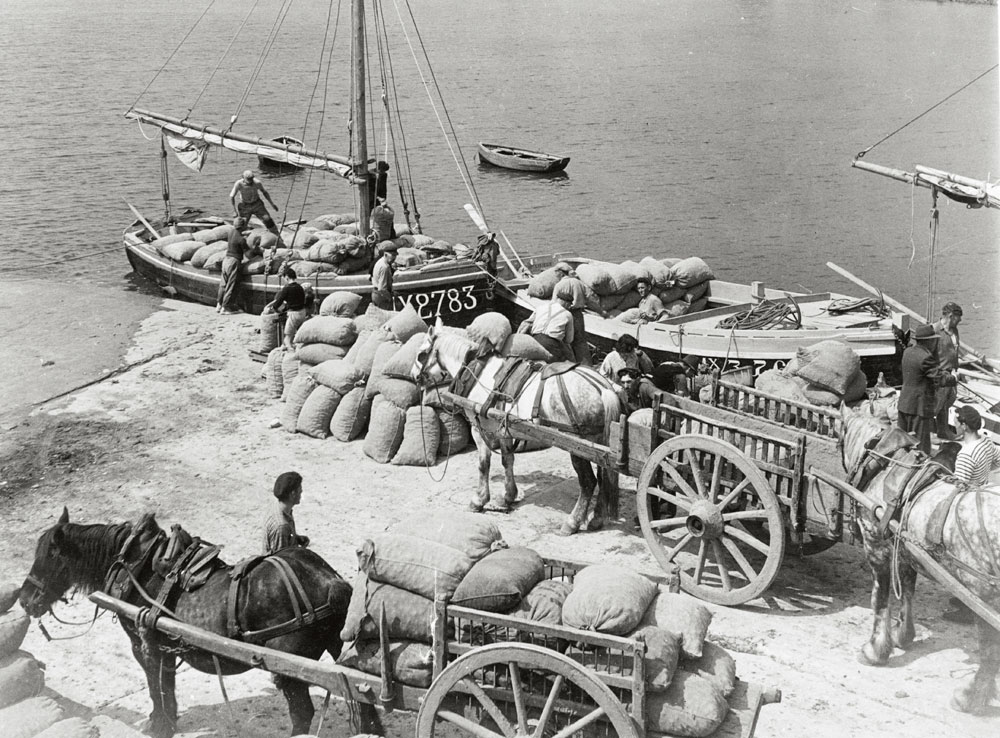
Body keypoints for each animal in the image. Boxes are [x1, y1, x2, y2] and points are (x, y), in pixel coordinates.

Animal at [19, 508, 372, 736]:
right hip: (341, 649)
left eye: (49, 555)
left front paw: (159, 725)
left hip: (290, 670)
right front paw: (168, 720)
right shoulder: (163, 645)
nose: (24, 599)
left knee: (302, 715)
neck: (135, 567)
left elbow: (155, 686)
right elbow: (167, 685)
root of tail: (329, 580)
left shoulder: (142, 644)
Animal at [410, 322, 620, 536]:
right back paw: (597, 518)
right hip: (601, 446)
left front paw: (479, 500)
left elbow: (484, 464)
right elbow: (507, 460)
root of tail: (603, 388)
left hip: (577, 446)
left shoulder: (480, 428)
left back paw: (572, 522)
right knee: (604, 477)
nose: (413, 375)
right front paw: (508, 496)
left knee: (588, 482)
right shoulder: (503, 429)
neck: (479, 372)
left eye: (420, 354)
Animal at [844, 402, 1000, 712]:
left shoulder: (877, 546)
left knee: (990, 651)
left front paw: (875, 650)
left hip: (983, 595)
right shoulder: (907, 550)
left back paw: (969, 698)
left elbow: (880, 600)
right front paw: (903, 635)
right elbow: (907, 591)